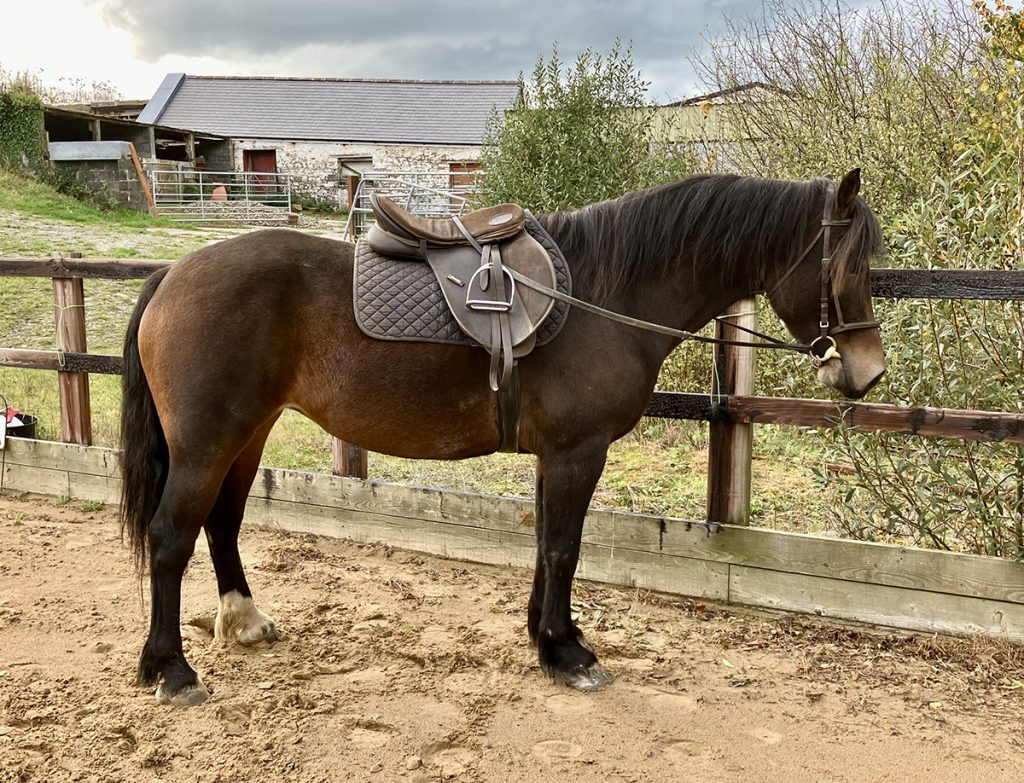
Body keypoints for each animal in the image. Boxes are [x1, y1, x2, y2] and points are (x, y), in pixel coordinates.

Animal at [120, 169, 885, 706]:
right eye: (849, 267)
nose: (869, 372)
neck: (602, 295)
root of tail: (172, 274)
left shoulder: (557, 456)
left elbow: (546, 544)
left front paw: (549, 639)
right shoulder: (578, 452)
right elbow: (564, 547)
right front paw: (568, 654)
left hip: (248, 432)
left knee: (221, 523)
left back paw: (243, 621)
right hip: (206, 443)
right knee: (170, 536)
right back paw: (171, 669)